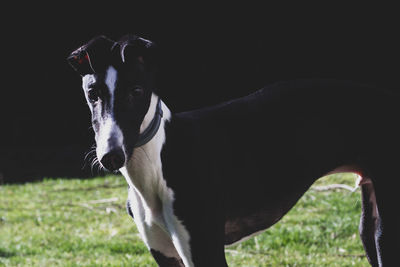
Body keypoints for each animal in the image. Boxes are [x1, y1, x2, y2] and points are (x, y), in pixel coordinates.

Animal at [67, 34, 398, 266]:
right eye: (93, 94)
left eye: (136, 91)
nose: (111, 157)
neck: (160, 160)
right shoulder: (165, 254)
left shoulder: (204, 251)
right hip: (370, 227)